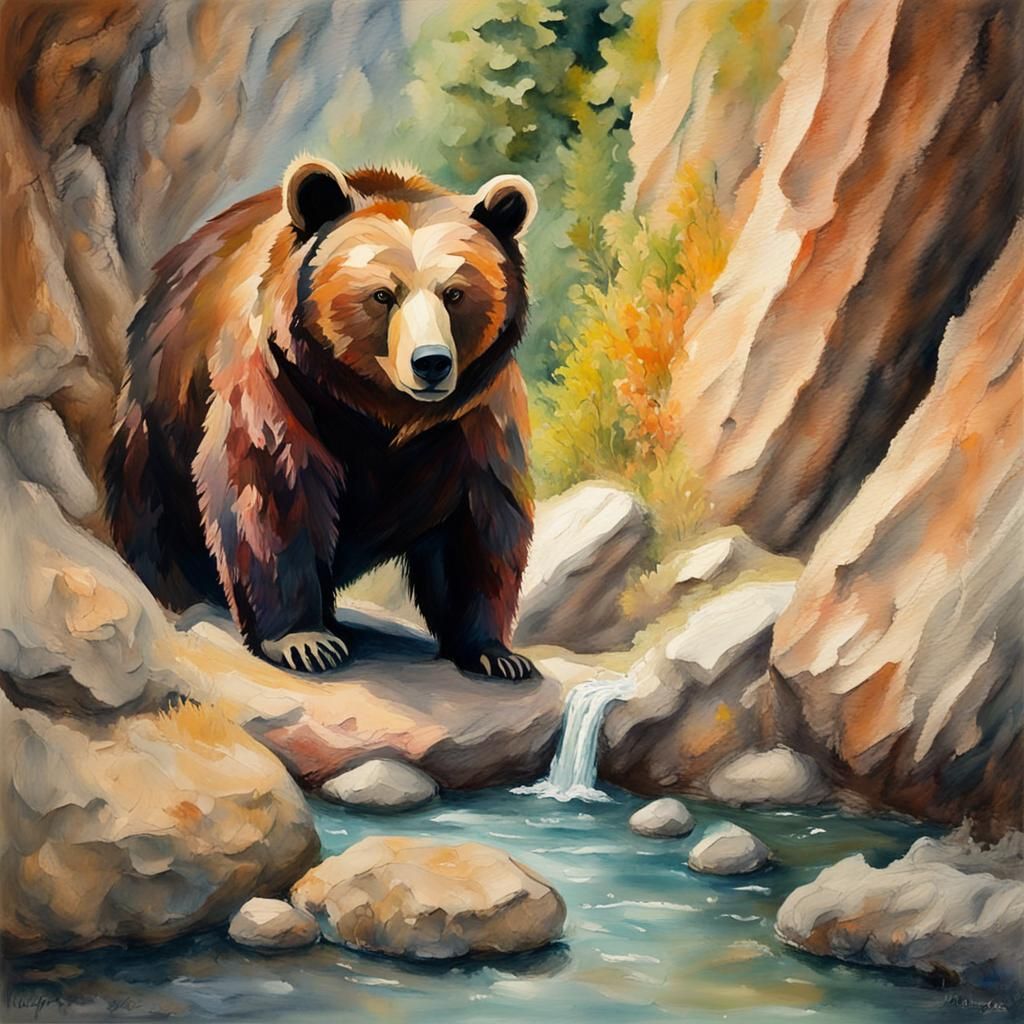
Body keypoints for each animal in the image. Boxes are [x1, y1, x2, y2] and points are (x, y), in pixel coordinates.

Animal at [105, 157, 537, 680]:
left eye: (454, 293)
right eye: (382, 295)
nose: (431, 362)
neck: (378, 405)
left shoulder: (474, 412)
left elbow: (481, 519)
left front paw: (494, 652)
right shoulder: (278, 377)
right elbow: (271, 485)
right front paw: (303, 640)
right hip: (157, 428)